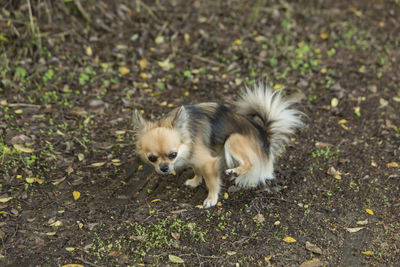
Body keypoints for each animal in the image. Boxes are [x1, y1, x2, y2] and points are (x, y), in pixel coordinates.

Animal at [133, 84, 302, 207]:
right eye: (152, 158)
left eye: (172, 155)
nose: (164, 168)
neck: (187, 132)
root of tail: (264, 136)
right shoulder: (193, 156)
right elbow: (196, 168)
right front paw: (195, 180)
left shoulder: (208, 162)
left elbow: (211, 182)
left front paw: (211, 199)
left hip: (232, 139)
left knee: (250, 163)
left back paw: (235, 171)